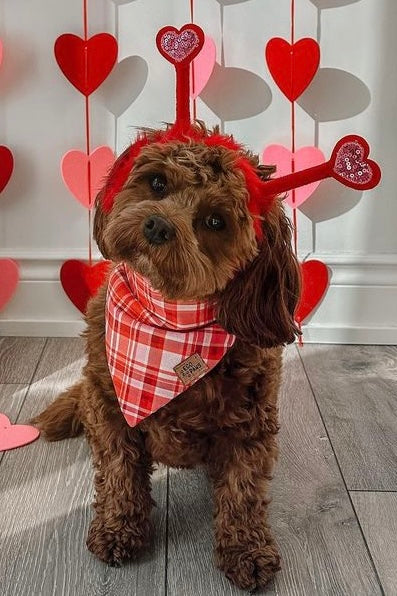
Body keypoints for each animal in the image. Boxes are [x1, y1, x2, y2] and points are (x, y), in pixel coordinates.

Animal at [33, 122, 300, 592]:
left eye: (215, 221)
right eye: (157, 183)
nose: (157, 225)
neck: (168, 323)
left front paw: (246, 550)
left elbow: (243, 491)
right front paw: (118, 528)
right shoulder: (109, 407)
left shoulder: (251, 425)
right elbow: (119, 472)